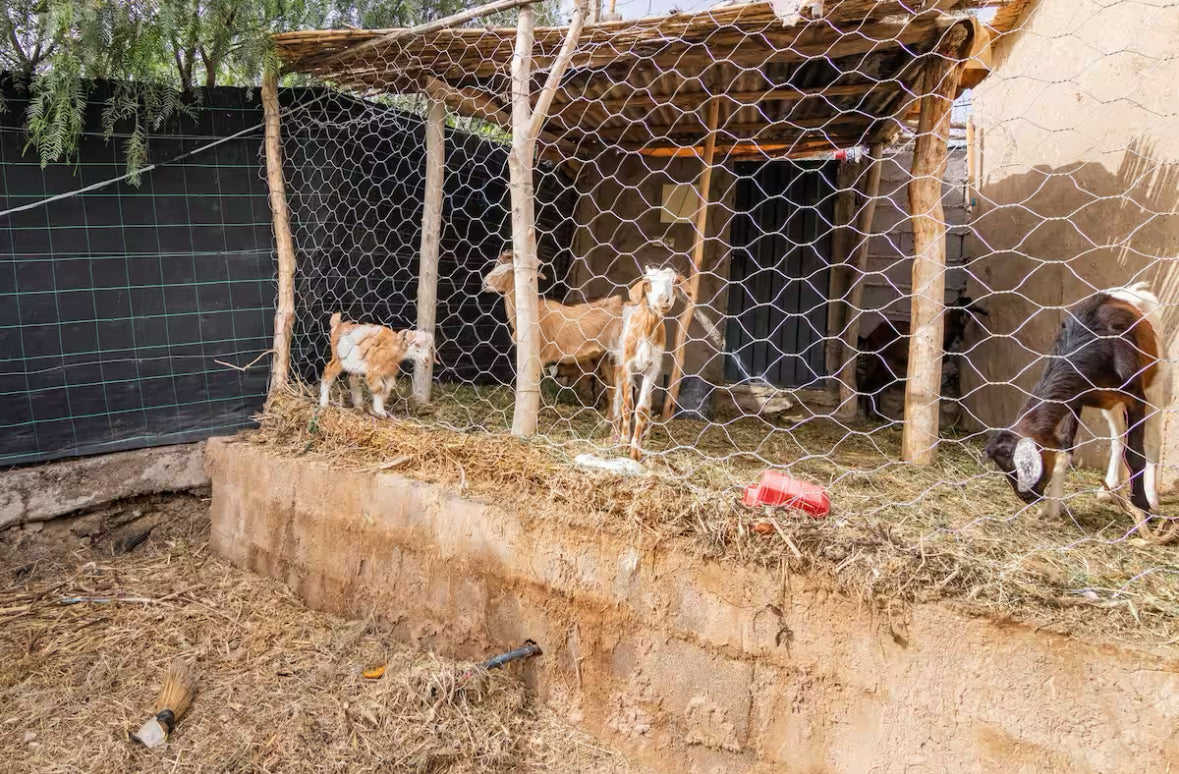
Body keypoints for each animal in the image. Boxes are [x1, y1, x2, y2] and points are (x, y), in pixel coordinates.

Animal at [985, 284, 1169, 533]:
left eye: (1019, 466)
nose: (1026, 497)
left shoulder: (1135, 396)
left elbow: (1135, 453)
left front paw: (1143, 510)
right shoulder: (1075, 400)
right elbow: (1064, 447)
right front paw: (1052, 510)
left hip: (1156, 383)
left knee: (1153, 439)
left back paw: (1152, 497)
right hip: (1111, 403)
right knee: (1116, 437)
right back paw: (1108, 488)